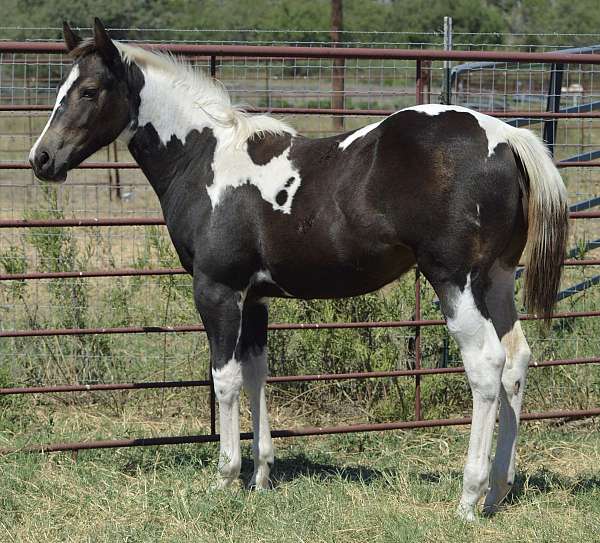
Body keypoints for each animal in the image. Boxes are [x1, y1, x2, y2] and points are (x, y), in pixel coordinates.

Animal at [30, 20, 568, 524]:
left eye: (89, 90)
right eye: (61, 86)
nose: (41, 159)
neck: (205, 161)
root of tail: (506, 139)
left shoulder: (217, 291)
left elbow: (225, 379)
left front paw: (226, 477)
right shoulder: (255, 298)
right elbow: (256, 374)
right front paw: (261, 476)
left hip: (455, 281)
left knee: (486, 366)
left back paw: (469, 498)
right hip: (495, 280)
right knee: (516, 362)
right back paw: (499, 489)